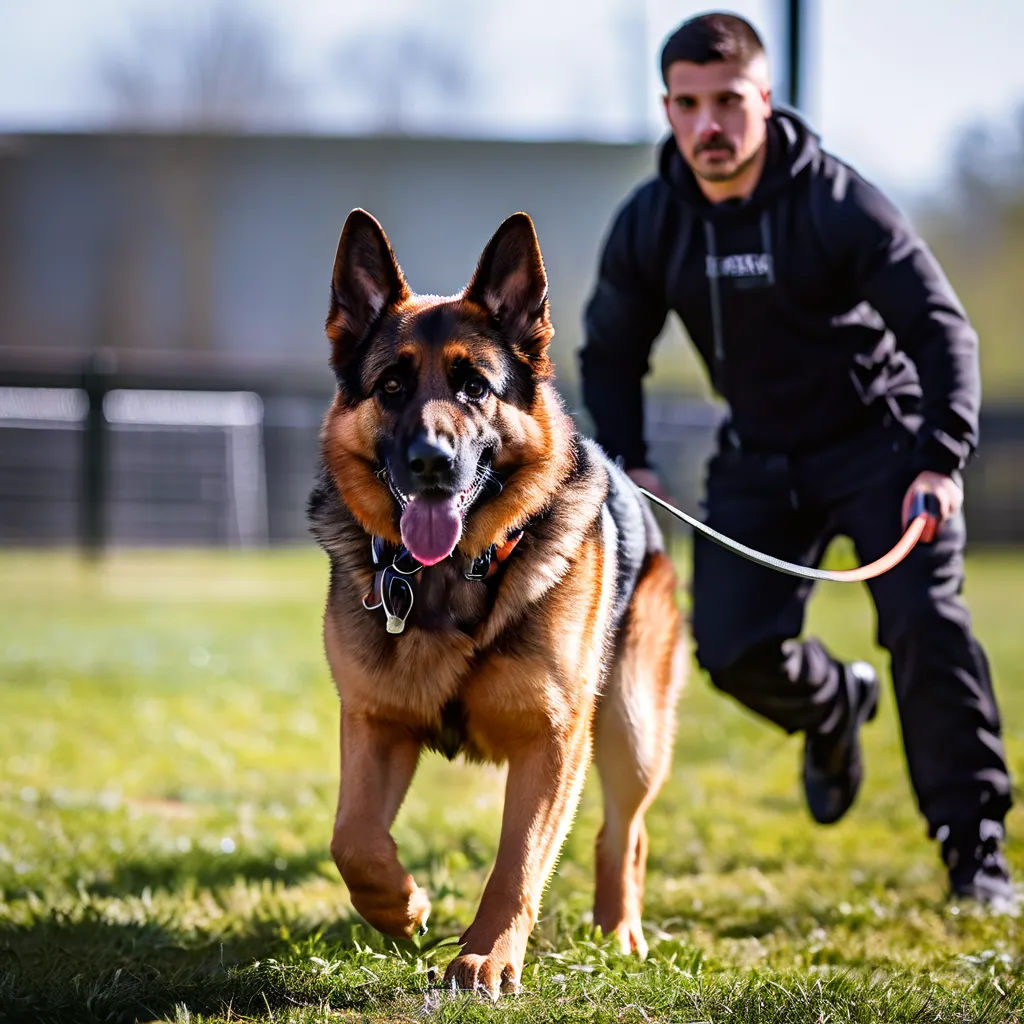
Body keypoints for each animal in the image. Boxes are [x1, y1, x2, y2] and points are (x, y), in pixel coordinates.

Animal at [307, 209, 684, 999]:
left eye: (475, 387)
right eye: (391, 385)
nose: (430, 462)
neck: (451, 575)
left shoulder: (554, 741)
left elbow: (518, 862)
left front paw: (487, 956)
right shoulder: (375, 722)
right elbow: (352, 838)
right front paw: (402, 905)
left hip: (632, 730)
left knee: (624, 834)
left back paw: (619, 929)